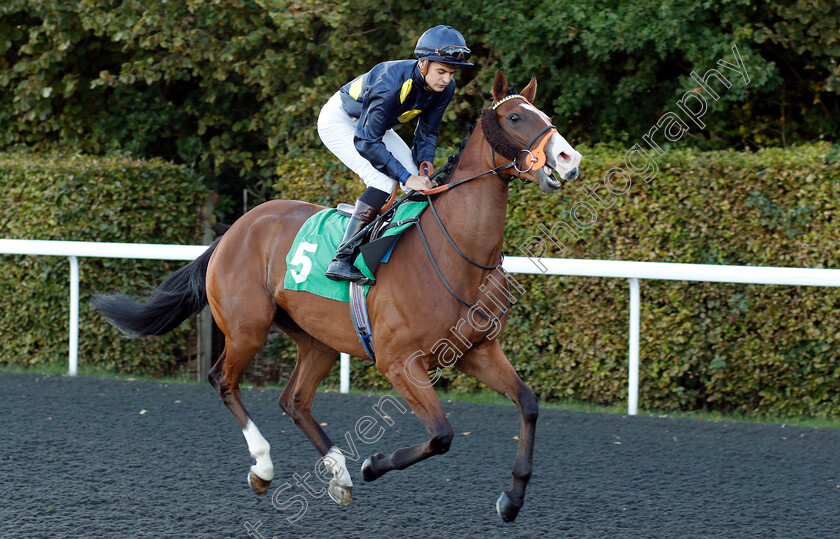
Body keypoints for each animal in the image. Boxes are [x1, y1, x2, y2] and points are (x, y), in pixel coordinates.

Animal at [92, 68, 576, 524]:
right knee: (223, 381)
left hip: (317, 339)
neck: (454, 252)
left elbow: (528, 405)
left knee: (295, 400)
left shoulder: (478, 350)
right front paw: (373, 464)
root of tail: (234, 230)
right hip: (248, 328)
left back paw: (338, 475)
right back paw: (264, 468)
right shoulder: (398, 362)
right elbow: (441, 435)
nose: (569, 159)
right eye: (515, 117)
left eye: (544, 114)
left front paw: (512, 499)